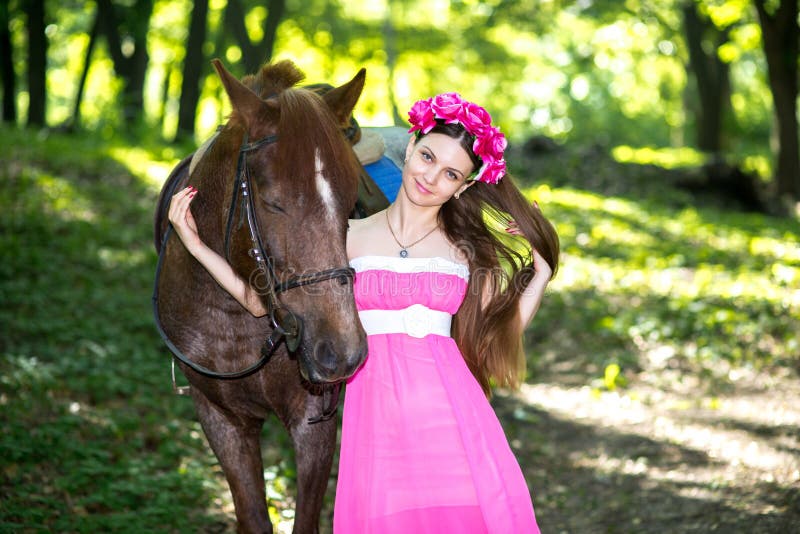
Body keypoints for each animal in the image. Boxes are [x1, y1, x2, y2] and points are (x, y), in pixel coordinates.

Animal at [153, 59, 368, 534]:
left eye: (351, 204)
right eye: (273, 203)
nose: (340, 351)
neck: (234, 318)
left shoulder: (313, 419)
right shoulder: (220, 418)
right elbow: (253, 516)